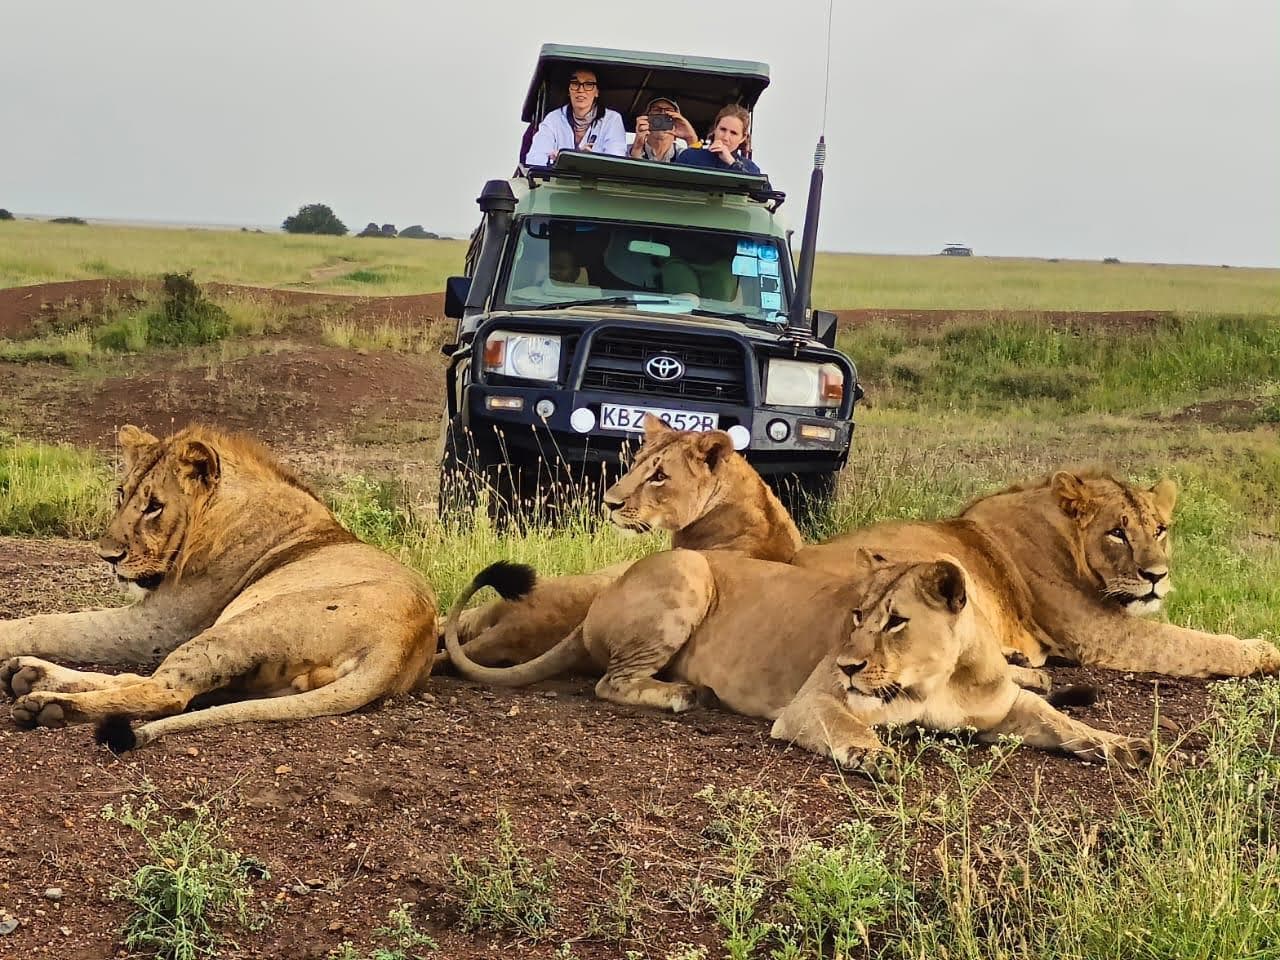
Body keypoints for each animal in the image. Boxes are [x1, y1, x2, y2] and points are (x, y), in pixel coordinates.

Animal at [0, 424, 438, 749]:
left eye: (154, 506)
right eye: (121, 496)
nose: (107, 556)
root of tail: (399, 648)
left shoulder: (159, 627)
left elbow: (53, 624)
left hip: (240, 625)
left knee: (167, 693)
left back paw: (46, 704)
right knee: (153, 684)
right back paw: (29, 676)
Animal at [444, 553, 1149, 772]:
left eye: (895, 620)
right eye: (857, 615)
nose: (849, 665)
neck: (936, 678)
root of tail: (599, 602)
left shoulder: (1007, 706)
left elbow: (1062, 723)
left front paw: (1124, 745)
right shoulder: (816, 702)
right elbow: (851, 725)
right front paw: (870, 753)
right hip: (690, 569)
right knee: (610, 682)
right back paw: (681, 695)